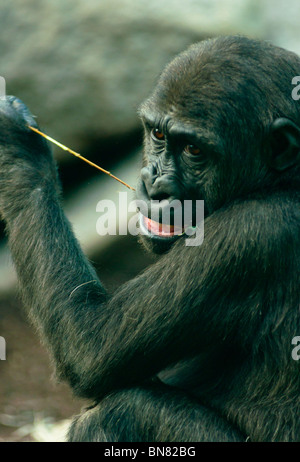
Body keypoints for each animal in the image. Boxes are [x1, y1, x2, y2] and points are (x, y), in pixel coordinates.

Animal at [0, 36, 300, 440]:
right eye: (158, 135)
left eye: (194, 150)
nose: (156, 185)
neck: (277, 181)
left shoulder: (251, 235)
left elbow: (91, 347)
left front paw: (19, 146)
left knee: (125, 409)